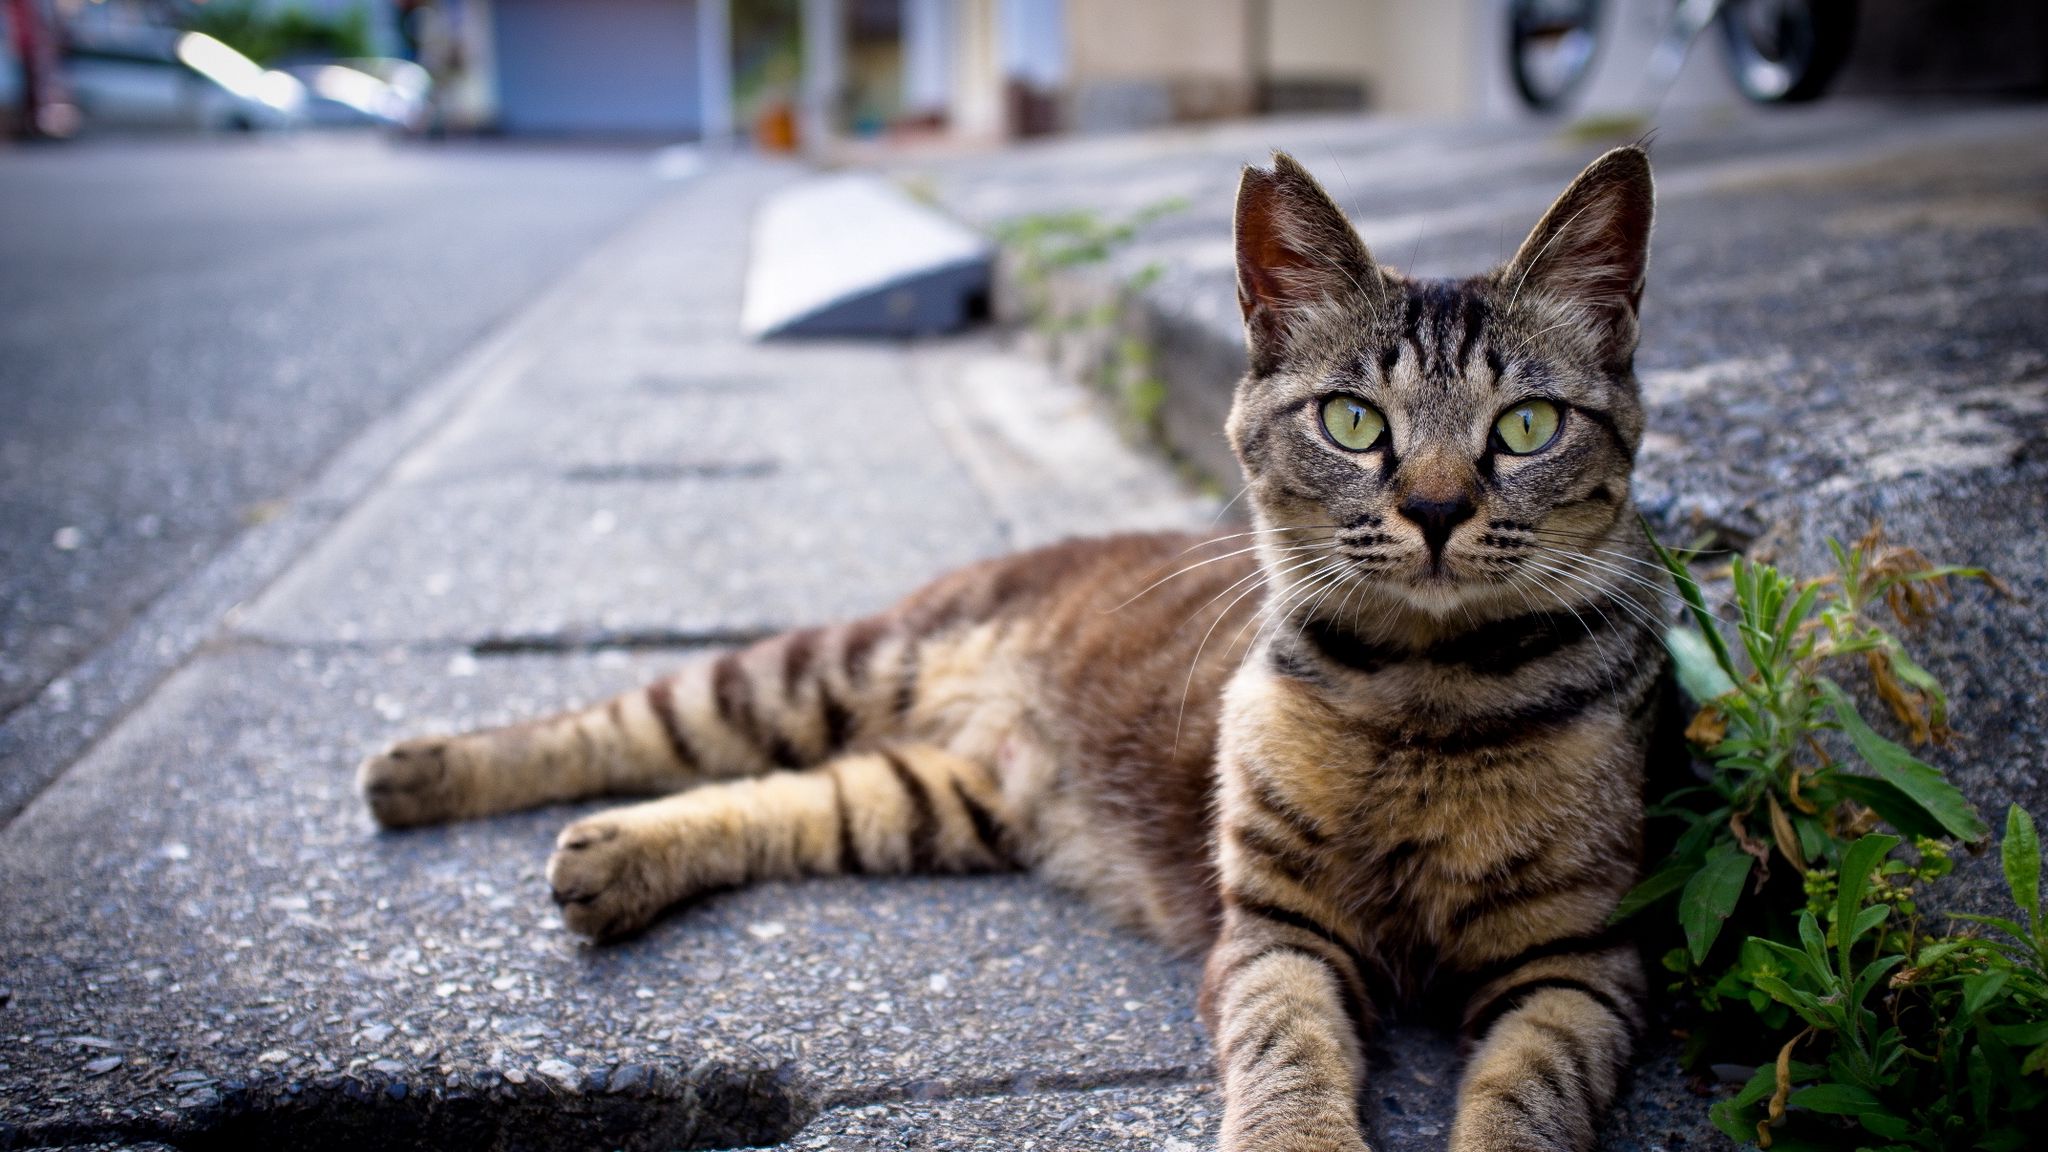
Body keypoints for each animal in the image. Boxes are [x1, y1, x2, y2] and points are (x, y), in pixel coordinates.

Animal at [364, 147, 1662, 1139]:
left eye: (1524, 426)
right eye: (1352, 422)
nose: (1436, 508)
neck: (1424, 696)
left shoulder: (1580, 968)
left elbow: (1524, 1100)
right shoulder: (1272, 937)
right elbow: (1288, 1064)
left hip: (935, 802)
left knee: (777, 798)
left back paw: (615, 858)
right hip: (820, 671)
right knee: (627, 721)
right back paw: (421, 772)